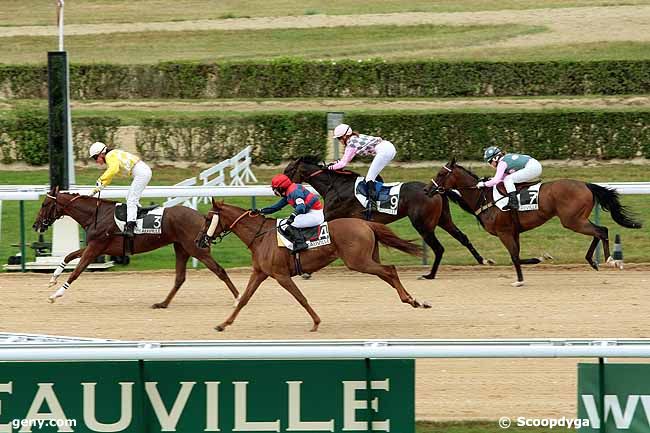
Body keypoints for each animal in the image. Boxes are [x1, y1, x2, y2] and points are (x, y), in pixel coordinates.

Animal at [30, 190, 238, 308]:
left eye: (44, 204)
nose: (36, 225)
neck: (96, 215)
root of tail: (203, 217)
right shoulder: (96, 247)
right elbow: (68, 255)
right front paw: (53, 278)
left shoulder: (95, 247)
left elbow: (76, 272)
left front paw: (56, 295)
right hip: (181, 248)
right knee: (180, 278)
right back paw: (163, 303)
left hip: (197, 249)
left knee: (219, 270)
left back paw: (238, 299)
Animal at [197, 199, 430, 330]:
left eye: (207, 219)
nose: (199, 241)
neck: (261, 236)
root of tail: (365, 223)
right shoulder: (260, 273)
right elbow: (243, 299)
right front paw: (223, 324)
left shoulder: (281, 276)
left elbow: (301, 298)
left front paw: (316, 322)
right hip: (367, 259)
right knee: (387, 273)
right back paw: (414, 300)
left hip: (358, 261)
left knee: (390, 270)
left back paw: (411, 300)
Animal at [284, 157, 492, 278]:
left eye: (288, 171)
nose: (279, 188)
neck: (335, 185)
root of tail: (436, 190)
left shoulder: (331, 215)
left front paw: (304, 267)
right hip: (443, 219)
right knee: (462, 237)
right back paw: (483, 260)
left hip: (423, 224)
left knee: (439, 247)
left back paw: (430, 274)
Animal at [422, 157, 640, 286]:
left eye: (440, 174)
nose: (427, 190)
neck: (484, 198)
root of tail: (586, 184)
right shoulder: (514, 231)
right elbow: (518, 256)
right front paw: (539, 259)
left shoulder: (504, 232)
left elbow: (514, 256)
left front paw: (520, 279)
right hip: (577, 219)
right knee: (598, 231)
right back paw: (592, 261)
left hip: (572, 220)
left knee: (601, 230)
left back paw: (611, 260)